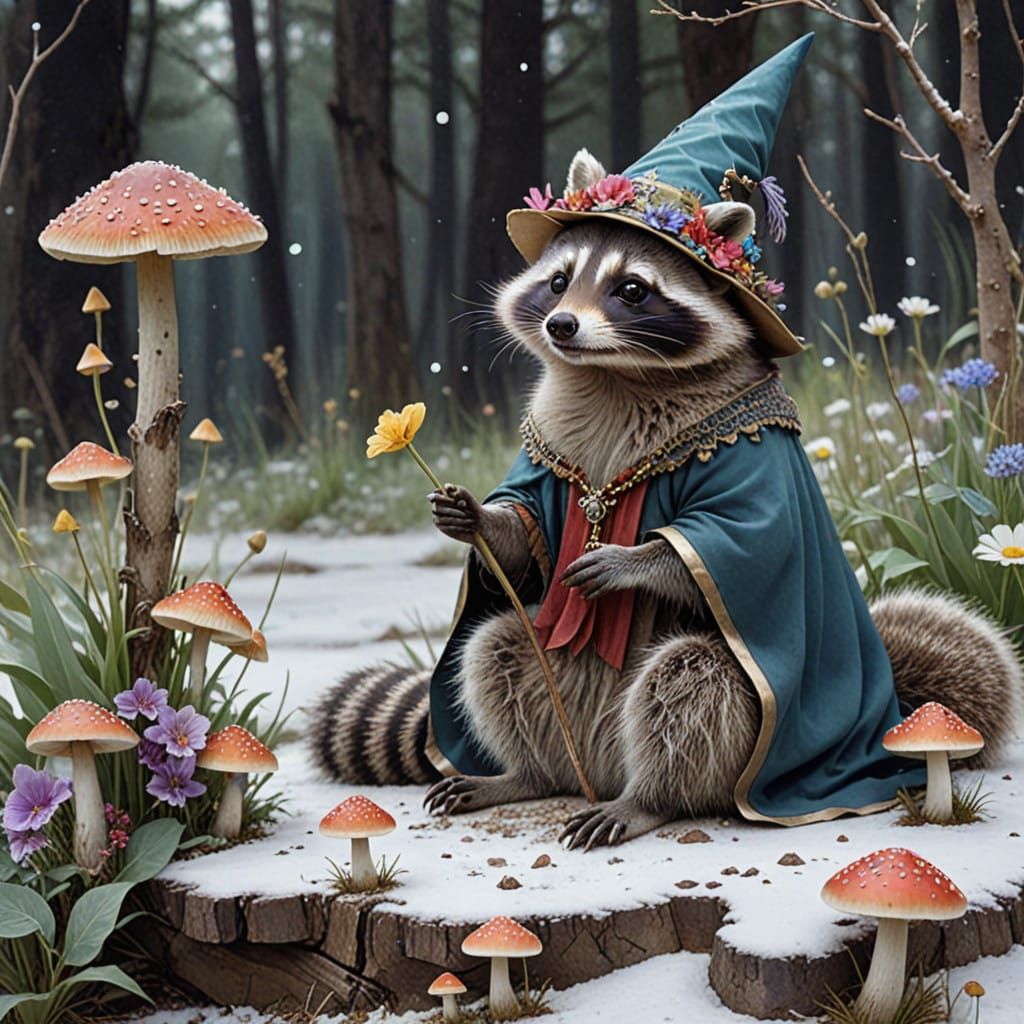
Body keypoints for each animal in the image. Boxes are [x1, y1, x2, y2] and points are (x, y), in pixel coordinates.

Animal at [312, 153, 1022, 849]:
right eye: (558, 281)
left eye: (631, 289)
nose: (561, 325)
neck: (614, 372)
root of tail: (600, 768)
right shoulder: (546, 452)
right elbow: (529, 538)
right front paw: (482, 521)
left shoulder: (753, 451)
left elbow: (736, 539)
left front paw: (633, 562)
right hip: (558, 693)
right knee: (500, 647)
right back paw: (524, 773)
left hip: (728, 723)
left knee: (690, 683)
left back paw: (650, 798)